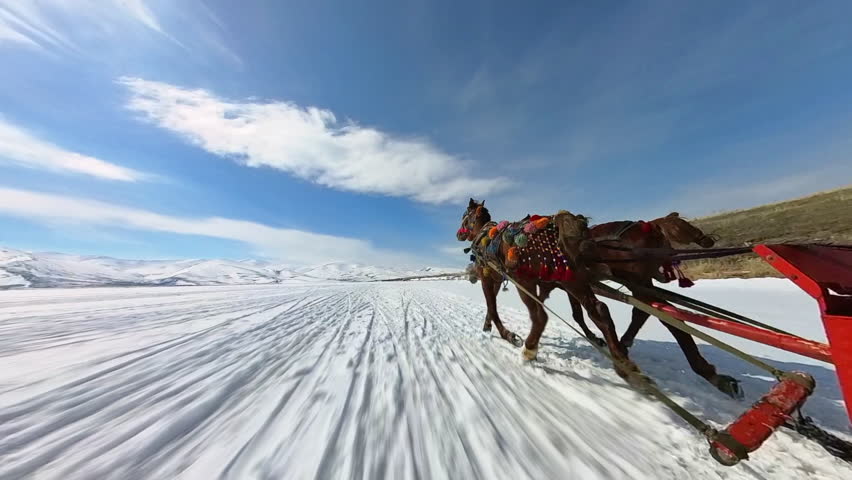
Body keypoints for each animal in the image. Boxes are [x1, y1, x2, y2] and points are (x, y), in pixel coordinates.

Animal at [457, 198, 646, 386]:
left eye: (465, 216)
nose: (458, 234)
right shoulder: (496, 280)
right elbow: (492, 305)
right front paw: (487, 325)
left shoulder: (487, 278)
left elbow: (492, 305)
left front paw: (506, 334)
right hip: (573, 281)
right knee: (599, 310)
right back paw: (623, 364)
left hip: (525, 281)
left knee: (540, 316)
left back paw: (529, 350)